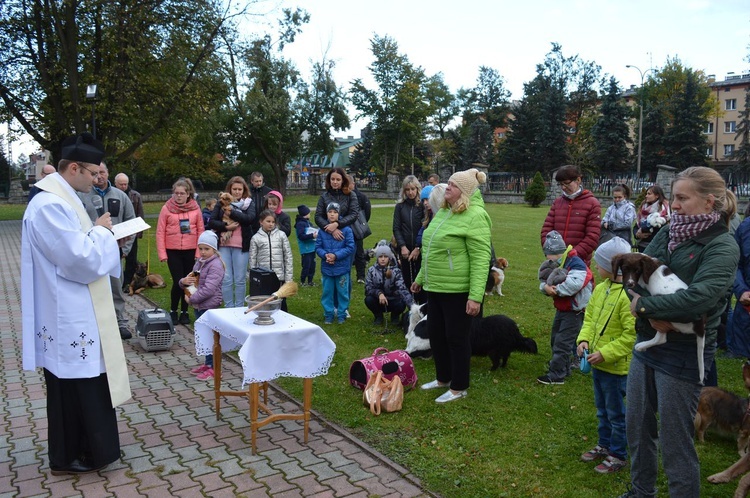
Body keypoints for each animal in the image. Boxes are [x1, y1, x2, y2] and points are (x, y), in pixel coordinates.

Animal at [612, 255, 708, 384]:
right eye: (625, 268)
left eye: (637, 270)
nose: (630, 284)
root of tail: (699, 325)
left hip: (665, 317)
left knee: (661, 338)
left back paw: (642, 346)